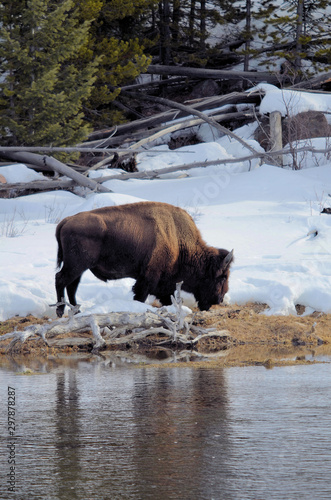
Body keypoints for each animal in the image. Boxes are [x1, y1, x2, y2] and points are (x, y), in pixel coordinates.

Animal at [54, 200, 235, 314]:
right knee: (60, 280)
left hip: (79, 268)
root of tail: (66, 220)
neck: (179, 241)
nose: (219, 299)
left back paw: (76, 311)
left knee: (72, 286)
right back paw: (60, 311)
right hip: (76, 265)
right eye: (222, 277)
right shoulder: (148, 278)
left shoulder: (164, 284)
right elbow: (140, 296)